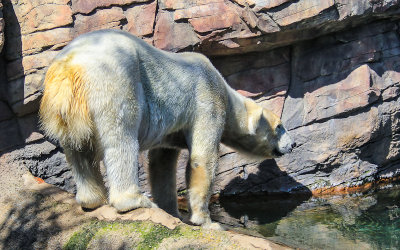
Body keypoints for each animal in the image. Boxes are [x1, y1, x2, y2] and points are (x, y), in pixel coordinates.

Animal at [39, 29, 294, 229]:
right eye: (280, 126)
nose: (291, 145)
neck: (226, 93)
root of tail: (69, 65)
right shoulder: (208, 99)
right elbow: (203, 158)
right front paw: (206, 221)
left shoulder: (170, 133)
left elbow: (162, 162)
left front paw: (172, 212)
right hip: (115, 79)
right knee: (121, 138)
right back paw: (134, 200)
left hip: (70, 107)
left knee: (78, 149)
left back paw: (92, 199)